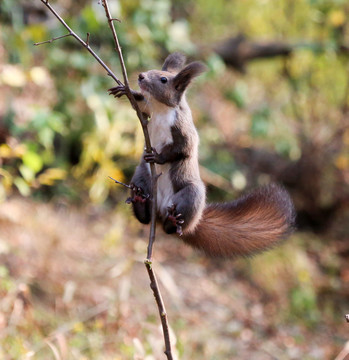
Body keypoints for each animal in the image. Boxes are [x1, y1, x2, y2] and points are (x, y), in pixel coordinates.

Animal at [108, 52, 294, 258]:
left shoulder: (183, 129)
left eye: (164, 79)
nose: (141, 76)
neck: (162, 109)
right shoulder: (149, 109)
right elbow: (140, 107)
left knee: (171, 227)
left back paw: (173, 222)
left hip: (190, 196)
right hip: (142, 176)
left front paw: (158, 158)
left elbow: (183, 148)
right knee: (144, 218)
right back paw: (140, 199)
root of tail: (161, 210)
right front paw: (128, 91)